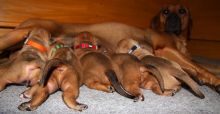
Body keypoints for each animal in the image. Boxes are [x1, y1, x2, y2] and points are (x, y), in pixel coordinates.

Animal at [0, 18, 219, 93]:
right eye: (166, 12)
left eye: (182, 11)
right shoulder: (165, 49)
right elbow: (200, 66)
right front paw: (213, 80)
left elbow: (200, 65)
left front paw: (206, 78)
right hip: (18, 34)